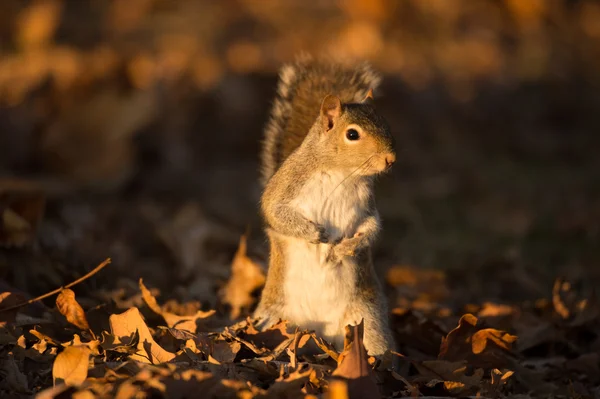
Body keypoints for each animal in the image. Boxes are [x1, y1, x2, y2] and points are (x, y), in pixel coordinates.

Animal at [252, 55, 394, 360]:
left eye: (386, 124)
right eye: (352, 134)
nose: (390, 159)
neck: (341, 173)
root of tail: (322, 333)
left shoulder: (367, 206)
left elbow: (372, 228)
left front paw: (345, 248)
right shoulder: (286, 185)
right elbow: (274, 212)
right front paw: (315, 234)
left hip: (367, 320)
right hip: (274, 315)